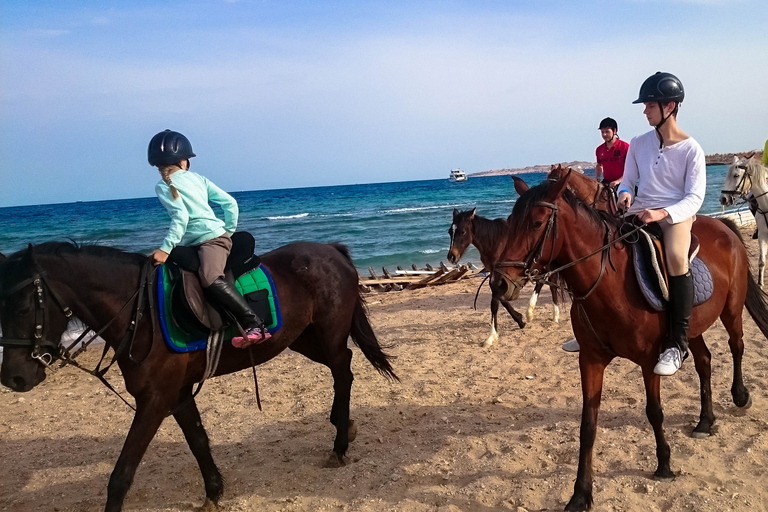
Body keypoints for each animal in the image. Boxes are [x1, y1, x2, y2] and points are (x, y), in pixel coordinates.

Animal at [0, 241, 398, 512]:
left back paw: (340, 443)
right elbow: (198, 442)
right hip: (300, 338)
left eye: (22, 306)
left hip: (328, 334)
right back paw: (342, 425)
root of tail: (330, 250)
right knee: (341, 368)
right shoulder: (176, 394)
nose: (13, 379)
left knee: (342, 371)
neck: (140, 312)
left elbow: (121, 475)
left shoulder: (154, 401)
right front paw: (214, 493)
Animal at [447, 208, 563, 347]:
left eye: (462, 231)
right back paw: (532, 312)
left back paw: (554, 315)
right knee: (542, 282)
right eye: (450, 231)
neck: (496, 242)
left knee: (551, 283)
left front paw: (492, 336)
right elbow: (500, 299)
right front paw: (520, 320)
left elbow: (496, 301)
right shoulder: (497, 276)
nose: (451, 257)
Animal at [491, 173, 766, 511]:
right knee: (704, 361)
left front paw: (664, 465)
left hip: (731, 309)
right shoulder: (591, 360)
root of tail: (723, 227)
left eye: (536, 223)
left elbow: (654, 411)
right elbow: (588, 425)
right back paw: (705, 421)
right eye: (510, 222)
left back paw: (740, 397)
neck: (609, 283)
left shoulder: (649, 361)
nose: (498, 284)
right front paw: (581, 493)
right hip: (692, 328)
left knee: (737, 346)